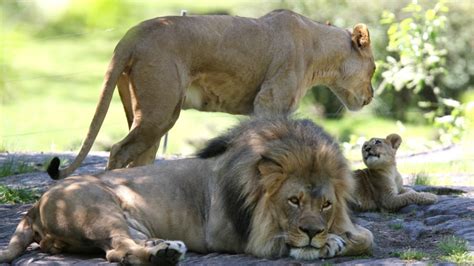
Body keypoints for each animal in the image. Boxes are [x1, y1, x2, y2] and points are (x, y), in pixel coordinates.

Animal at [2, 116, 374, 264]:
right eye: (294, 200)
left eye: (326, 204)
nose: (312, 232)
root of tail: (34, 205)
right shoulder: (229, 233)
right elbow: (278, 241)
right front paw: (328, 244)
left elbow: (367, 237)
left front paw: (338, 239)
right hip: (98, 209)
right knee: (118, 250)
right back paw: (162, 255)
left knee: (124, 244)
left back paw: (165, 246)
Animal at [48, 8, 374, 179]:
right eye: (372, 69)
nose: (371, 97)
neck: (318, 49)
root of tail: (131, 34)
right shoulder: (269, 102)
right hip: (158, 113)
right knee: (118, 151)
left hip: (155, 116)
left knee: (141, 158)